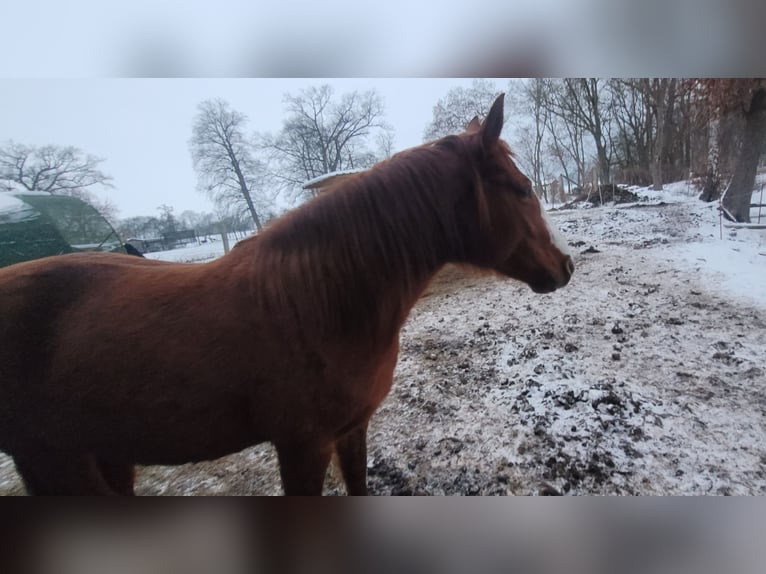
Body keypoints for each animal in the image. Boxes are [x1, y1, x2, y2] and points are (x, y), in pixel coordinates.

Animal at [0, 94, 573, 495]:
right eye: (522, 189)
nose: (565, 266)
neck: (319, 303)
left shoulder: (351, 429)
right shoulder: (303, 446)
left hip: (107, 454)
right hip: (57, 464)